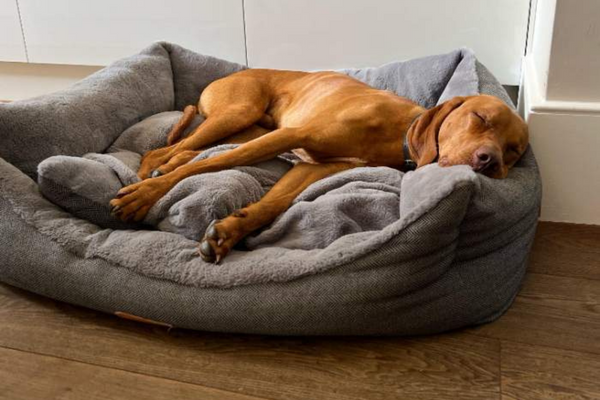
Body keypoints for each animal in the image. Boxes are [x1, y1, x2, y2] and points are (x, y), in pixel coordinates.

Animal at [110, 69, 528, 262]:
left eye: (514, 151)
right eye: (479, 117)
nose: (489, 161)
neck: (397, 132)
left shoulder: (310, 169)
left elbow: (274, 203)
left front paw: (228, 231)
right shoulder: (291, 136)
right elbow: (211, 169)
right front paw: (145, 196)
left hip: (247, 130)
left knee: (182, 153)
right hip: (239, 114)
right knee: (169, 154)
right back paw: (144, 181)